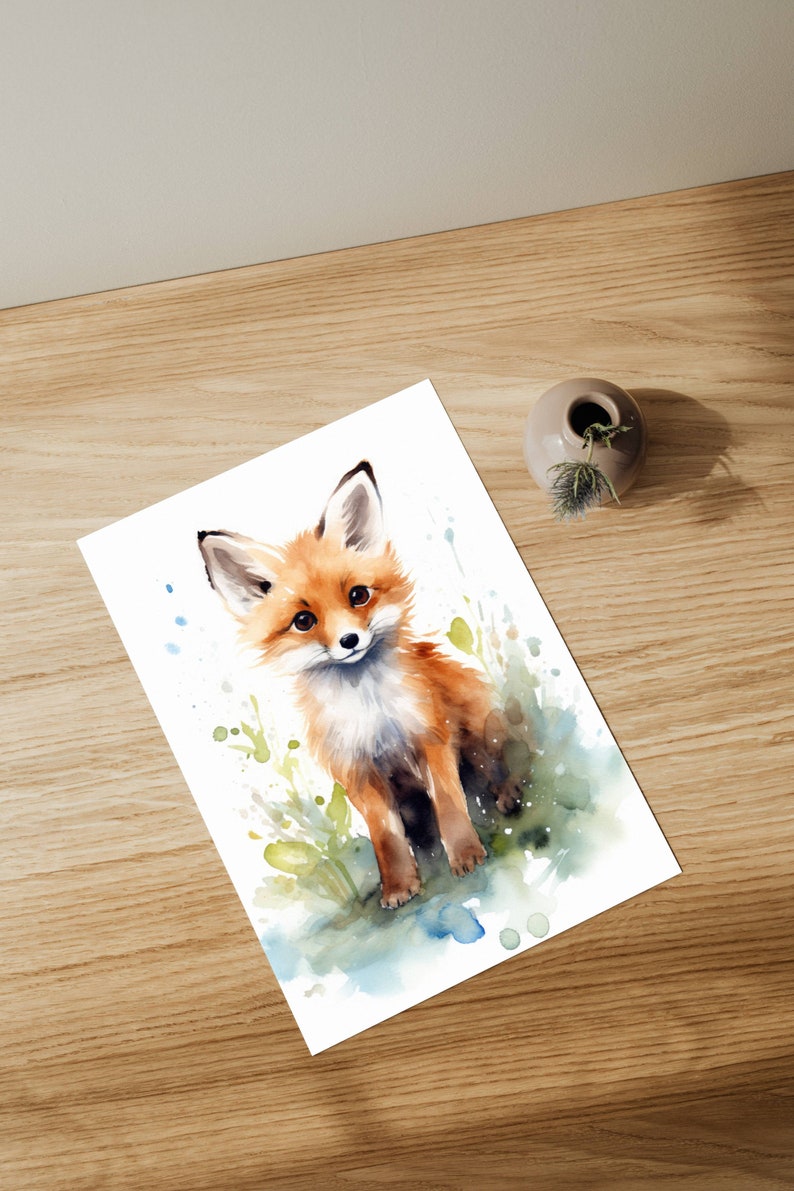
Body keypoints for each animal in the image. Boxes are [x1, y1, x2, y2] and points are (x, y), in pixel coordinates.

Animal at [198, 461, 516, 909]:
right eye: (303, 621)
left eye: (358, 595)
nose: (349, 640)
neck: (370, 709)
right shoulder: (357, 772)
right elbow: (386, 837)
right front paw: (399, 885)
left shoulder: (432, 739)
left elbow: (451, 805)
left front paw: (466, 855)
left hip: (478, 732)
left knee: (498, 763)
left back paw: (508, 793)